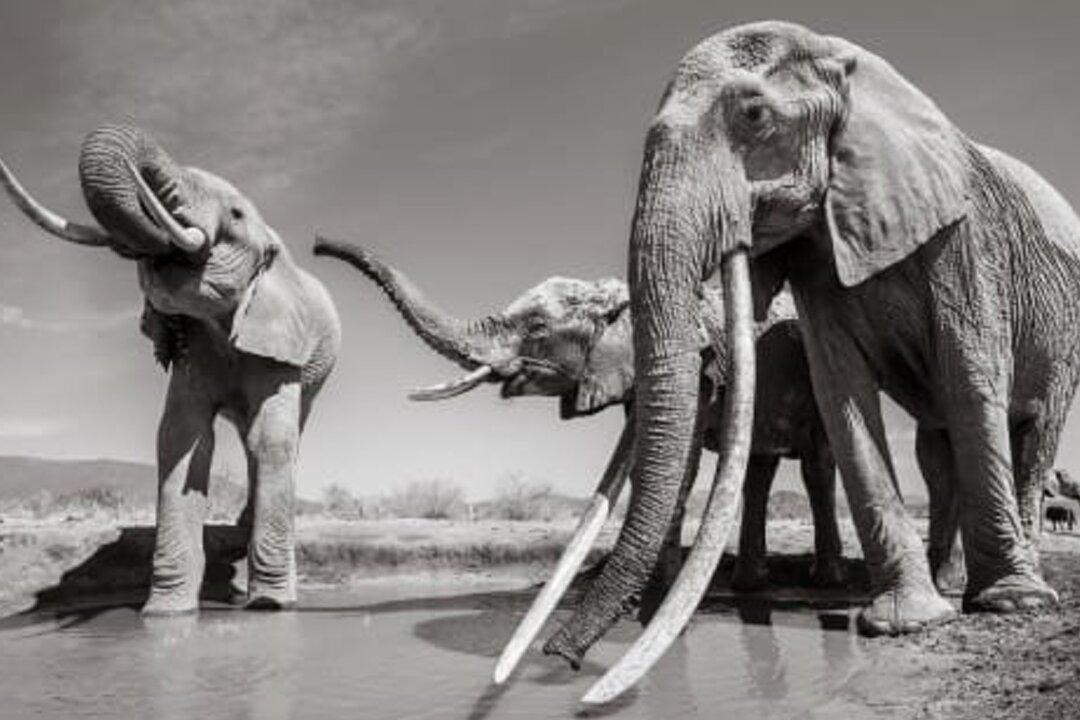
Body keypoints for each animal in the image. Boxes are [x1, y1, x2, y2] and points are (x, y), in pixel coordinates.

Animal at [0, 124, 341, 615]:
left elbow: (271, 439)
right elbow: (182, 436)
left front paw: (271, 606)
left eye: (236, 214)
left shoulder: (279, 344)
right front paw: (166, 611)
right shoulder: (193, 347)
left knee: (281, 434)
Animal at [312, 239, 847, 597]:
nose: (317, 244)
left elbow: (676, 464)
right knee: (759, 468)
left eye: (538, 328)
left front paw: (650, 593)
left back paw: (825, 581)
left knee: (817, 465)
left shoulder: (697, 368)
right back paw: (748, 586)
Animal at [489, 22, 1080, 703]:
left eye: (753, 116)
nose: (560, 661)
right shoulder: (818, 257)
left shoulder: (966, 240)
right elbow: (841, 391)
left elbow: (970, 376)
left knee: (1030, 429)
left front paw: (1004, 605)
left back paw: (1013, 591)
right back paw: (944, 584)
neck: (849, 65)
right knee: (933, 450)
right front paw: (906, 621)